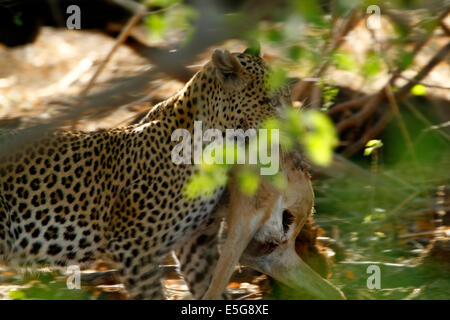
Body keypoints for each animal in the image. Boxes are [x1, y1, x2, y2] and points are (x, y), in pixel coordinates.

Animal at [0, 48, 288, 298]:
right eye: (269, 101)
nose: (293, 122)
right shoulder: (134, 248)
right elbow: (152, 294)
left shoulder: (197, 244)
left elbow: (211, 289)